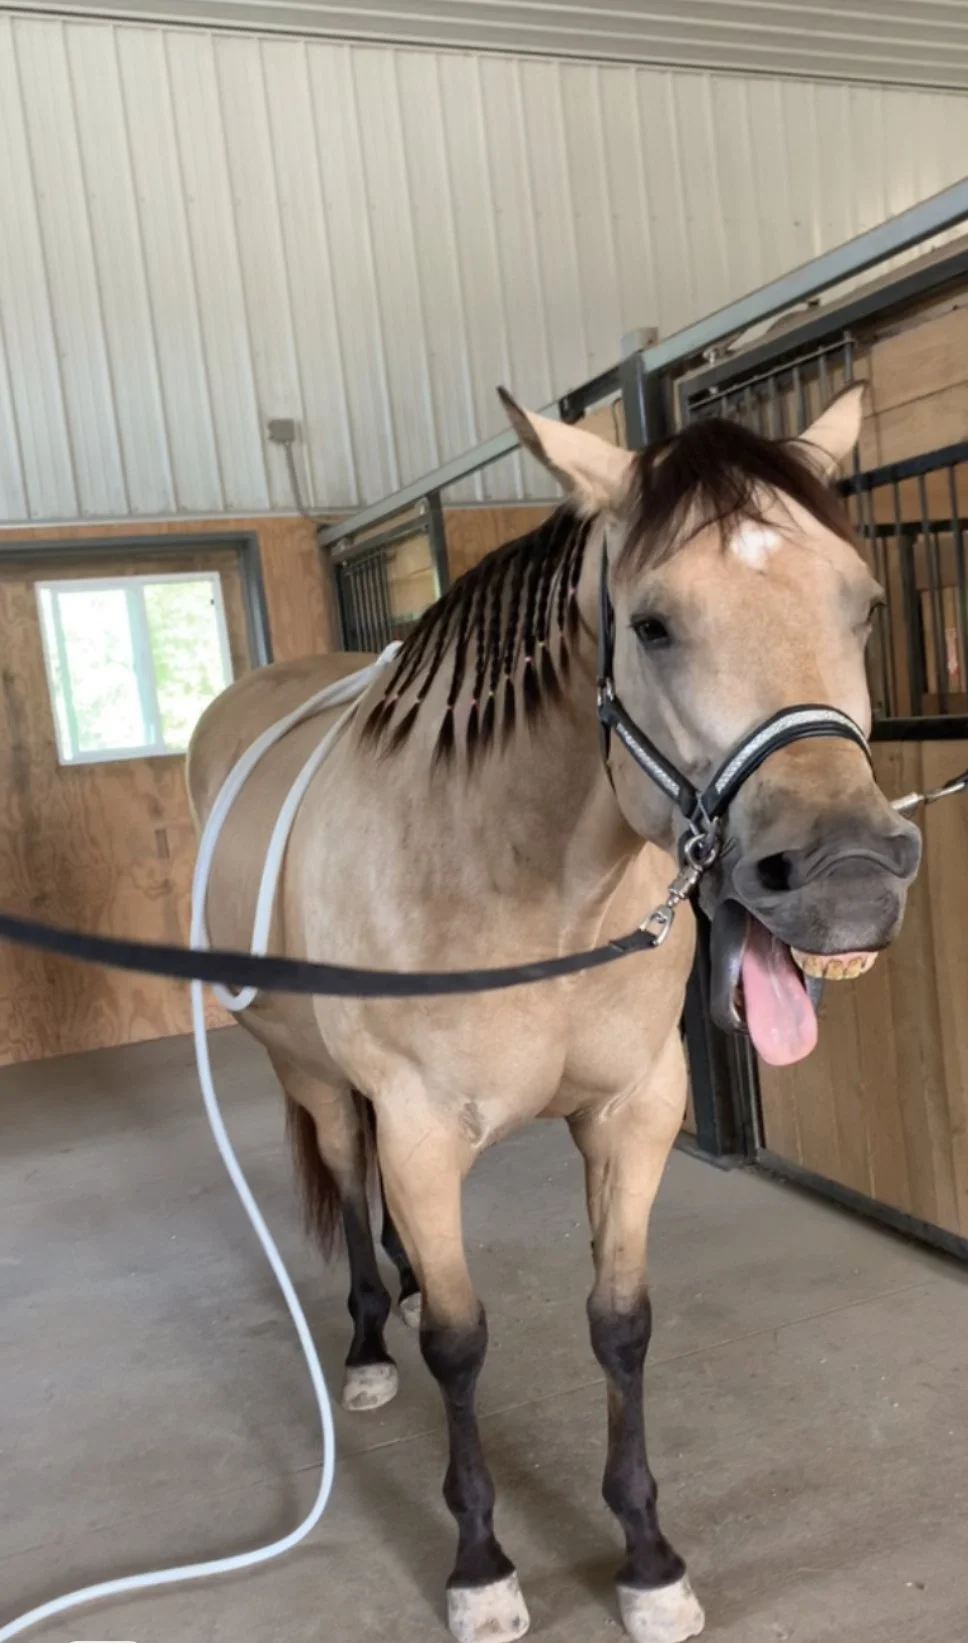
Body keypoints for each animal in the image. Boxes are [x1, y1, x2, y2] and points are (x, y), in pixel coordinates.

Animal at [187, 384, 921, 1643]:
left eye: (862, 604)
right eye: (654, 624)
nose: (848, 883)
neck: (526, 882)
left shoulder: (635, 1110)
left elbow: (618, 1322)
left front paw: (646, 1556)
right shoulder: (421, 1129)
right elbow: (460, 1342)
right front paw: (481, 1563)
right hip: (311, 1074)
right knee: (352, 1176)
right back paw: (369, 1339)